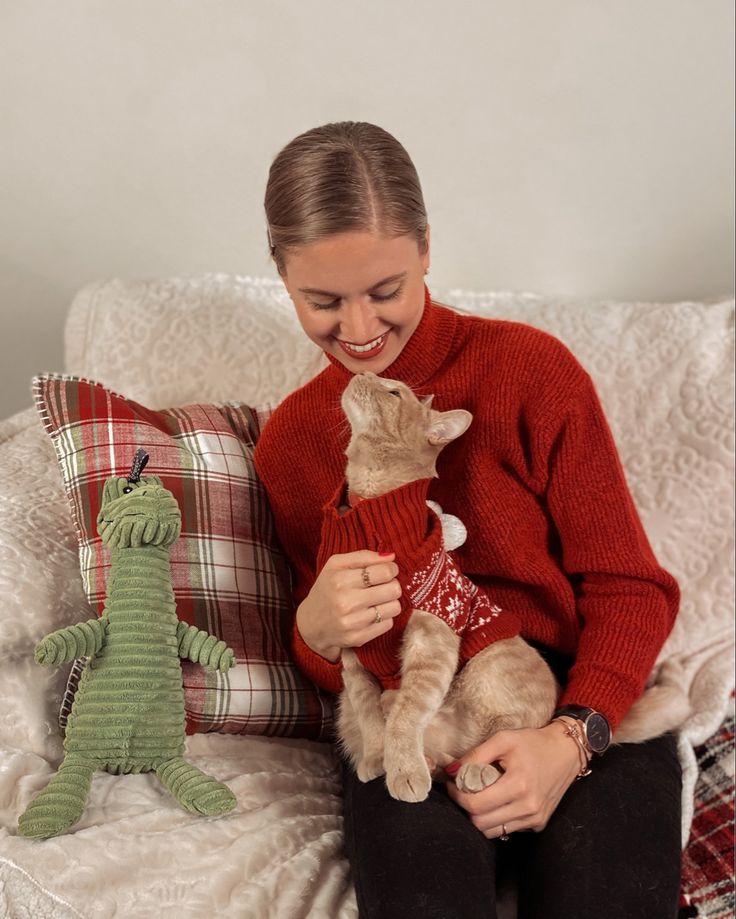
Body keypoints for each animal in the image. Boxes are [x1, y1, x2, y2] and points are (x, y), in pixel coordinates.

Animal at [336, 370, 692, 800]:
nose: (362, 372)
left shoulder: (434, 637)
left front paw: (404, 767)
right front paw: (377, 757)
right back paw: (432, 758)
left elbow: (409, 711)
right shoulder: (352, 654)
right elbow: (369, 712)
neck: (375, 511)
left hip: (488, 662)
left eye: (393, 391)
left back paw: (473, 767)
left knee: (504, 732)